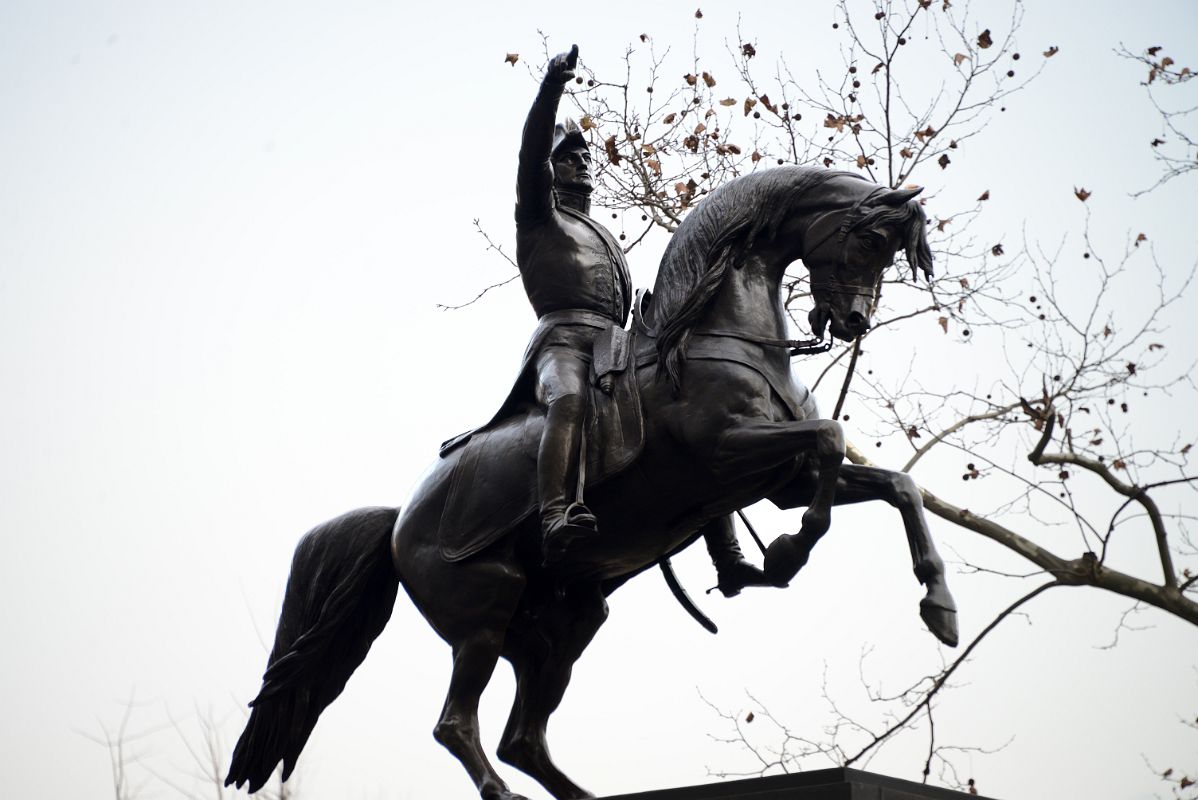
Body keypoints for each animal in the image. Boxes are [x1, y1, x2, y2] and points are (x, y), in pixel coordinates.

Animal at [222, 164, 953, 800]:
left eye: (894, 253)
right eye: (867, 239)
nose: (854, 323)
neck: (716, 336)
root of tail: (400, 518)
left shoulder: (782, 478)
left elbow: (897, 485)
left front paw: (940, 607)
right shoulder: (728, 454)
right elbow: (829, 443)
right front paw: (789, 551)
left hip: (565, 621)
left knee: (522, 737)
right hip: (484, 609)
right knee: (457, 724)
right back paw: (501, 791)